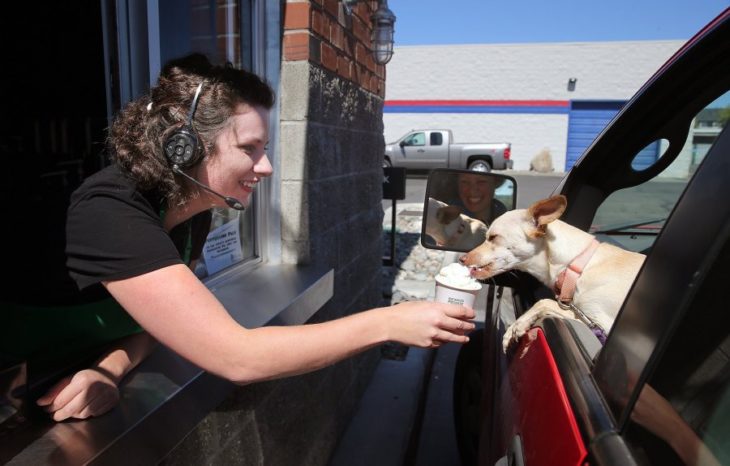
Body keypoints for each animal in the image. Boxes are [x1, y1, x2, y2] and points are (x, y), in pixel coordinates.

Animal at [460, 195, 644, 352]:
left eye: (493, 237)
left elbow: (543, 302)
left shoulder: (603, 325)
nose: (462, 258)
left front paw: (516, 326)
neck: (578, 266)